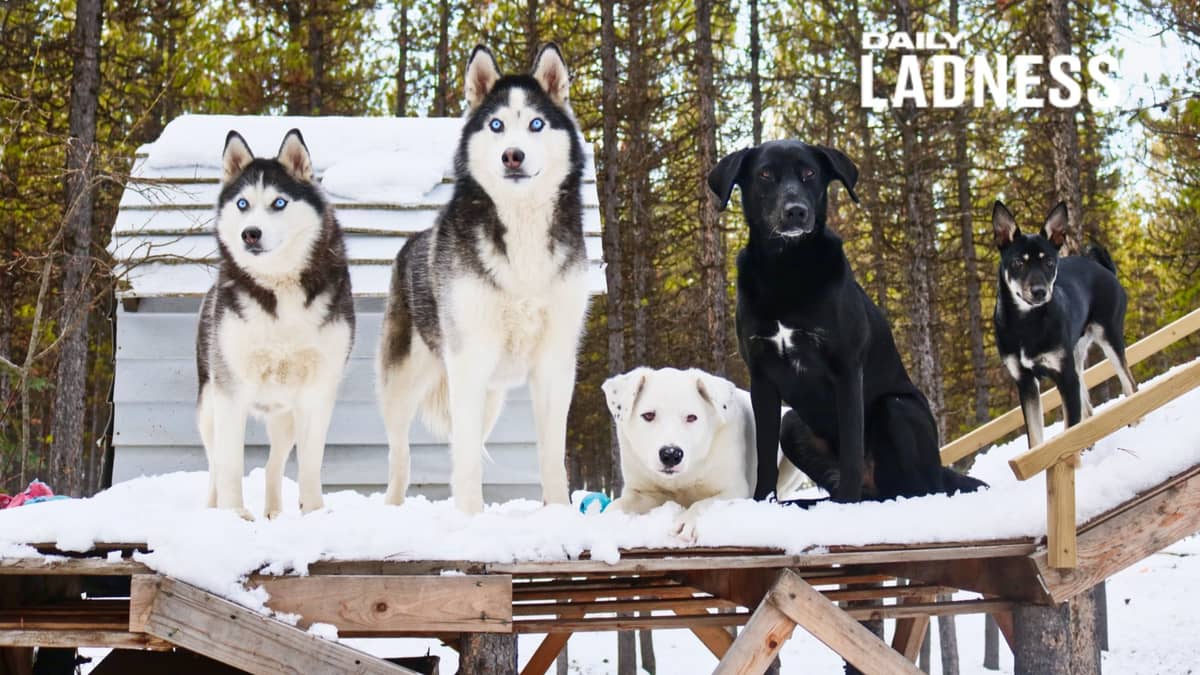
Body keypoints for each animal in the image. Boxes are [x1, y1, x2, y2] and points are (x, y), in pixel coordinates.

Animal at [195, 128, 350, 516]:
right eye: (242, 204)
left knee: (272, 464)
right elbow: (230, 463)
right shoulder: (230, 390)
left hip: (285, 415)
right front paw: (233, 516)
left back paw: (275, 512)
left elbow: (310, 463)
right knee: (215, 462)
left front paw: (314, 513)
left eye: (279, 203)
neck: (279, 287)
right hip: (209, 405)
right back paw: (213, 506)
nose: (250, 233)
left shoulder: (318, 390)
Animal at [376, 44, 588, 511]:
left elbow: (552, 457)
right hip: (404, 385)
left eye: (536, 123)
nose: (513, 155)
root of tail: (407, 245)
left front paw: (558, 513)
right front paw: (470, 518)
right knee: (401, 456)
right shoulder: (469, 357)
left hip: (489, 396)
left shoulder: (555, 363)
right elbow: (468, 460)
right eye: (496, 125)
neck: (521, 226)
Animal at [604, 365, 801, 538]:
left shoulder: (735, 490)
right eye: (648, 415)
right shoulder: (641, 492)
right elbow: (616, 506)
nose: (671, 455)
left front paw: (687, 522)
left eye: (692, 417)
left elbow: (704, 502)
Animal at [705, 139, 979, 502]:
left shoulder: (846, 369)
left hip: (897, 408)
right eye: (764, 174)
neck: (785, 268)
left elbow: (851, 451)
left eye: (809, 173)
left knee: (921, 488)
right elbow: (764, 456)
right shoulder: (761, 375)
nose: (796, 211)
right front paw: (764, 503)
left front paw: (844, 505)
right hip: (793, 425)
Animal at [988, 200, 1137, 451]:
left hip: (1109, 336)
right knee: (1088, 408)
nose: (1039, 291)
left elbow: (1069, 431)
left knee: (1130, 386)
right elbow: (1036, 441)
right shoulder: (1025, 382)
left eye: (1049, 262)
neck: (1026, 325)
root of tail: (1103, 269)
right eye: (1018, 262)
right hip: (1076, 356)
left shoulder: (1064, 377)